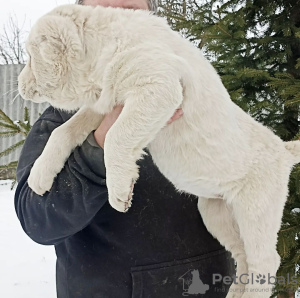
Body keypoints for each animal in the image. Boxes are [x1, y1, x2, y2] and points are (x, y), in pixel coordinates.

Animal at [18, 4, 300, 296]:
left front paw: (120, 191)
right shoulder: (104, 105)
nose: (18, 83)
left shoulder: (158, 87)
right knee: (242, 255)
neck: (104, 48)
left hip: (256, 210)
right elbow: (63, 131)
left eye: (31, 57)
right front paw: (39, 177)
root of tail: (284, 150)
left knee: (265, 260)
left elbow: (116, 136)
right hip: (215, 212)